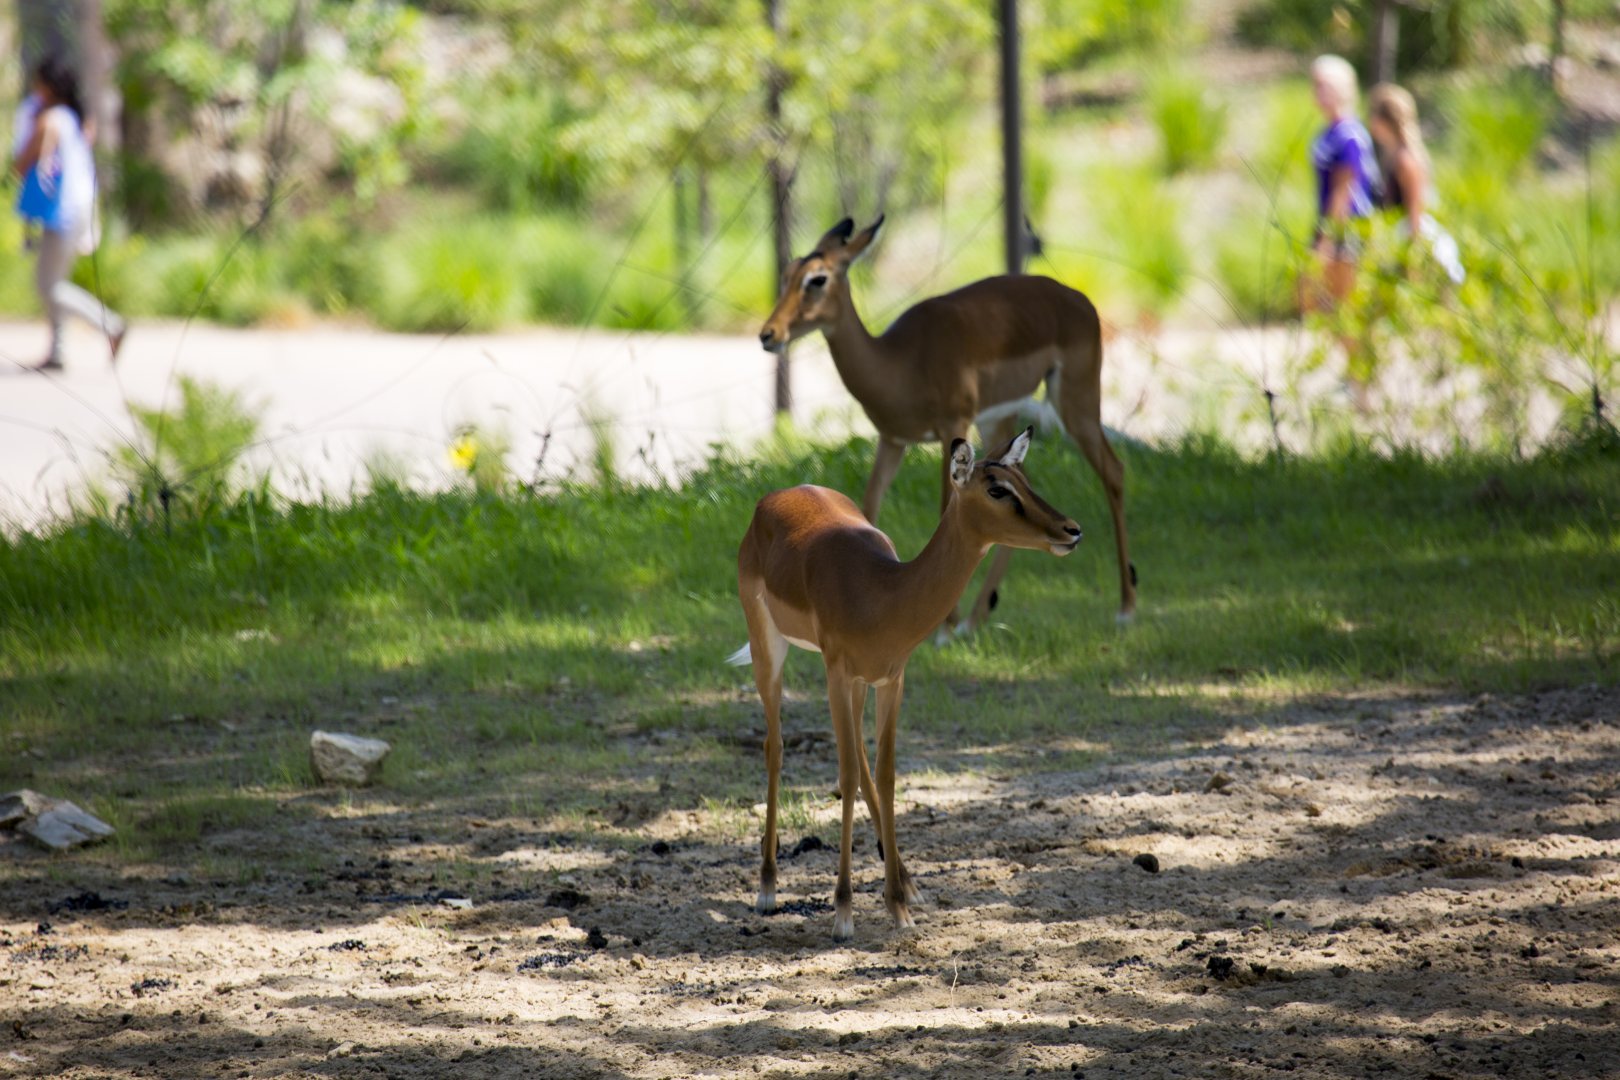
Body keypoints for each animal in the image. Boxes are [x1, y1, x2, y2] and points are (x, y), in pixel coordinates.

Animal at [729, 428, 1080, 940]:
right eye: (996, 488)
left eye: (1025, 480)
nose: (1071, 530)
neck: (883, 592)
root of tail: (779, 494)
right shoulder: (837, 671)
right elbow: (846, 777)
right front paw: (843, 913)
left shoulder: (891, 679)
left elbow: (886, 773)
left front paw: (898, 904)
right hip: (768, 647)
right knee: (775, 748)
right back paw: (767, 889)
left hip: (856, 684)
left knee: (858, 757)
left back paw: (908, 883)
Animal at [759, 216, 1136, 632]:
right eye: (788, 273)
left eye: (818, 278)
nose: (769, 334)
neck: (899, 362)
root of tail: (1079, 298)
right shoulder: (892, 439)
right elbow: (869, 506)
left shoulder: (951, 426)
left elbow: (943, 506)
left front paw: (945, 627)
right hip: (999, 422)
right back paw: (979, 615)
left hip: (1076, 403)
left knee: (1114, 470)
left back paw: (1126, 608)